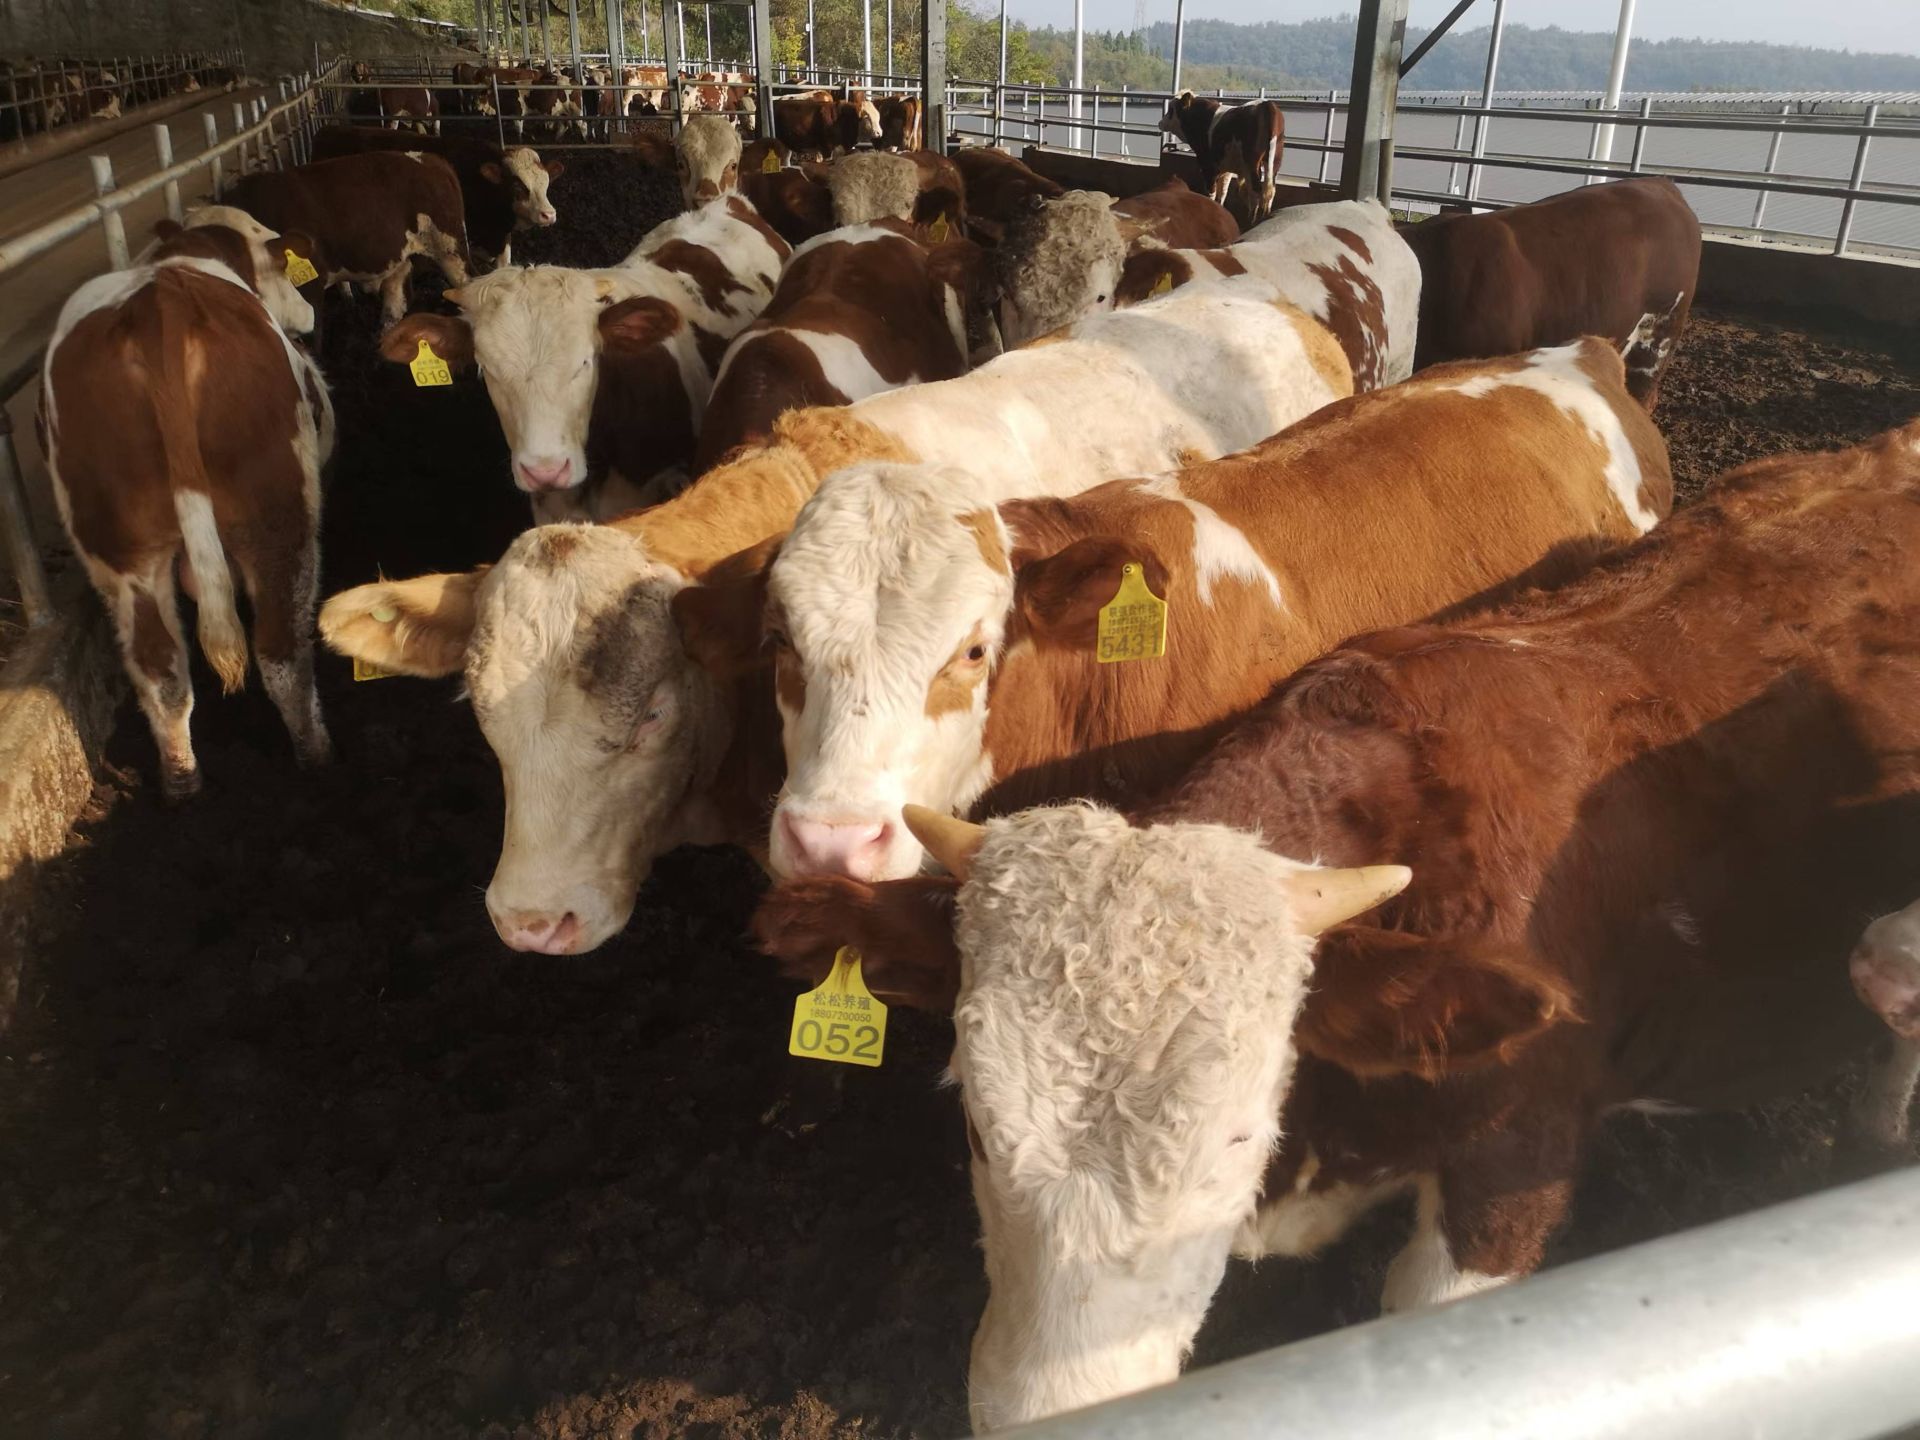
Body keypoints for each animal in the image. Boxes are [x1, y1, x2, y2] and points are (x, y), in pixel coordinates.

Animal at [38, 218, 335, 800]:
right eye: (283, 272)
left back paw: (181, 782)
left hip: (122, 550)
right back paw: (316, 759)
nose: (310, 316)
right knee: (282, 653)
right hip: (279, 520)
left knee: (162, 672)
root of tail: (157, 310)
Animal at [1159, 90, 1285, 221]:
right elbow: (1223, 192)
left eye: (1171, 109)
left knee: (1255, 192)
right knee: (1270, 191)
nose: (1160, 123)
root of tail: (1267, 105)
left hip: (1252, 164)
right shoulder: (1226, 168)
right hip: (1274, 161)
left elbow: (1211, 193)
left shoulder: (1208, 166)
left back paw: (1251, 221)